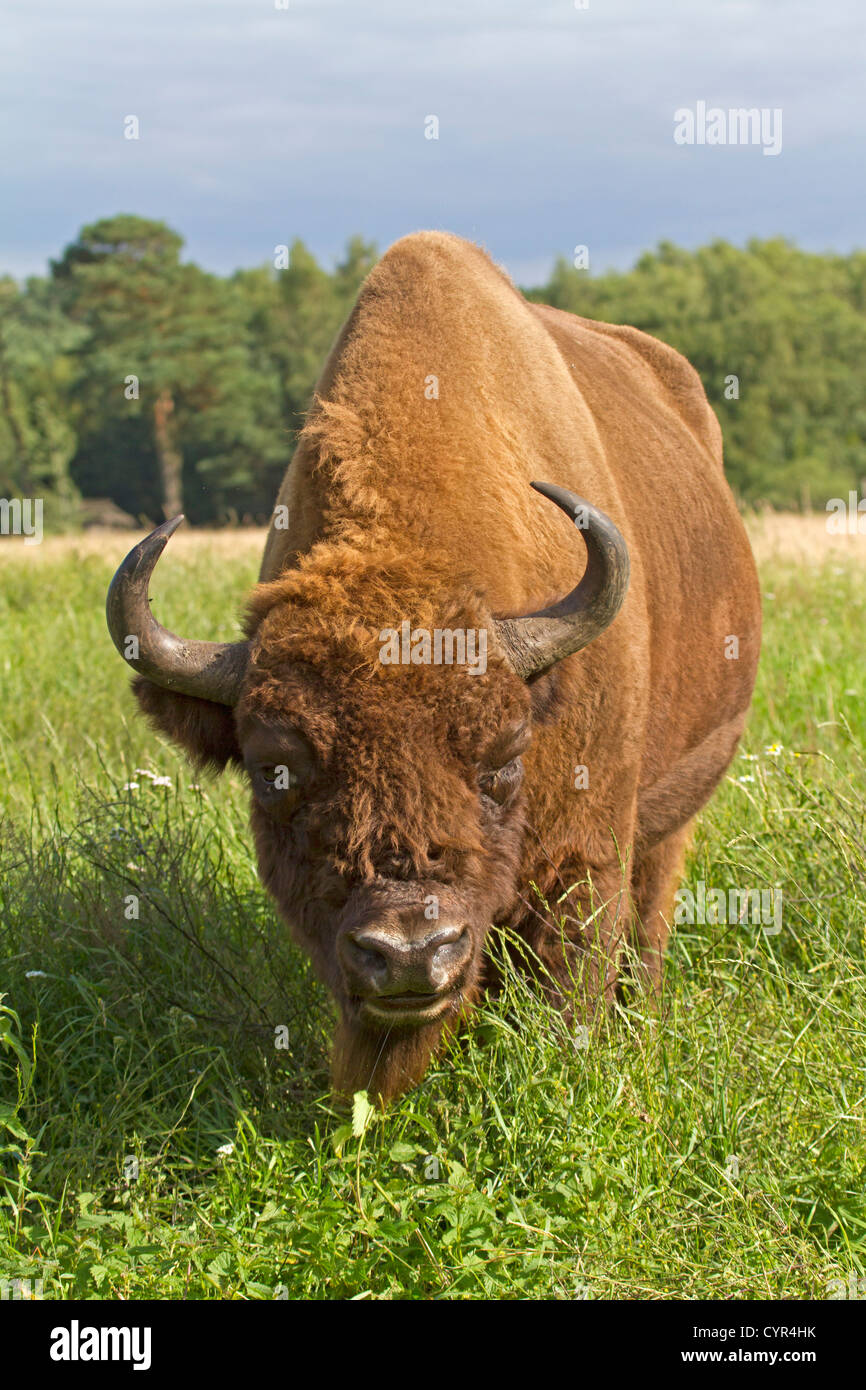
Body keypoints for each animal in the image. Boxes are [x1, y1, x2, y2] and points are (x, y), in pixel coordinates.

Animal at [107, 230, 756, 1095]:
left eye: (504, 757)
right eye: (276, 770)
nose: (411, 953)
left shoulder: (586, 856)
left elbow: (574, 980)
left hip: (674, 813)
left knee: (650, 920)